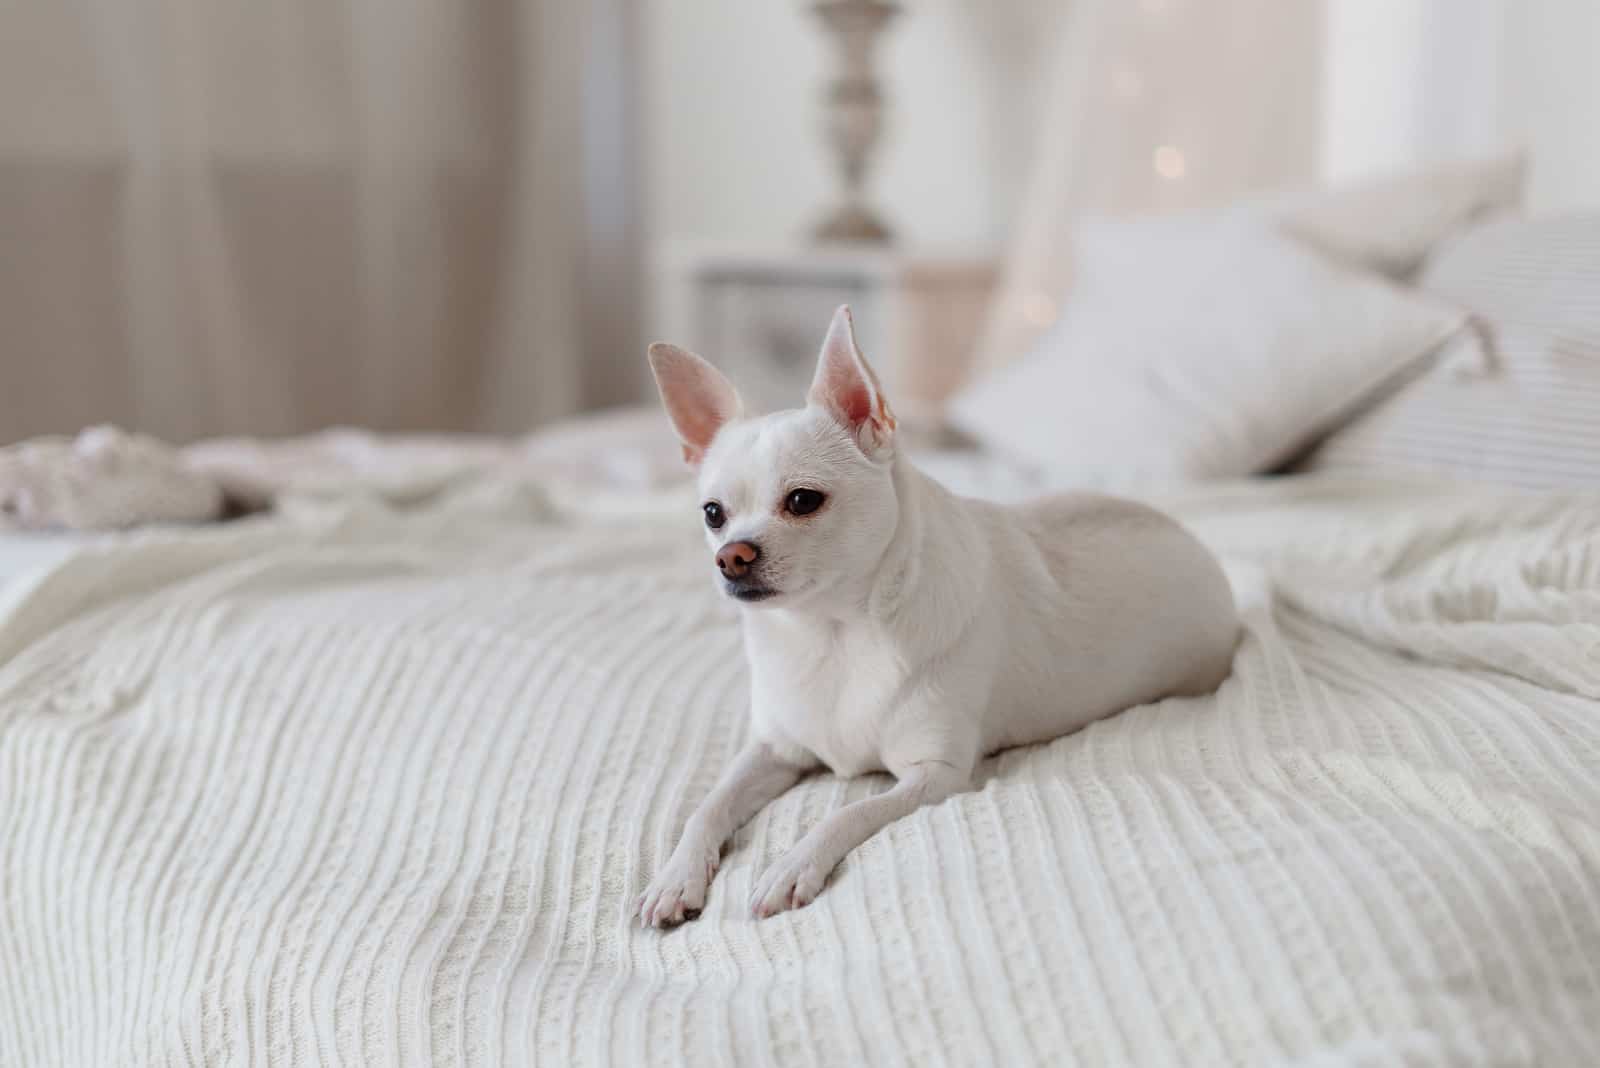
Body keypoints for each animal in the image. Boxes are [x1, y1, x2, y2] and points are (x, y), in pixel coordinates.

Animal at [636, 303, 1235, 920]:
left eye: (803, 500)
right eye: (712, 514)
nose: (731, 556)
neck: (831, 633)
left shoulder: (935, 776)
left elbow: (846, 812)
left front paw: (791, 866)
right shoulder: (774, 751)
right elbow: (708, 805)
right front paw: (676, 875)